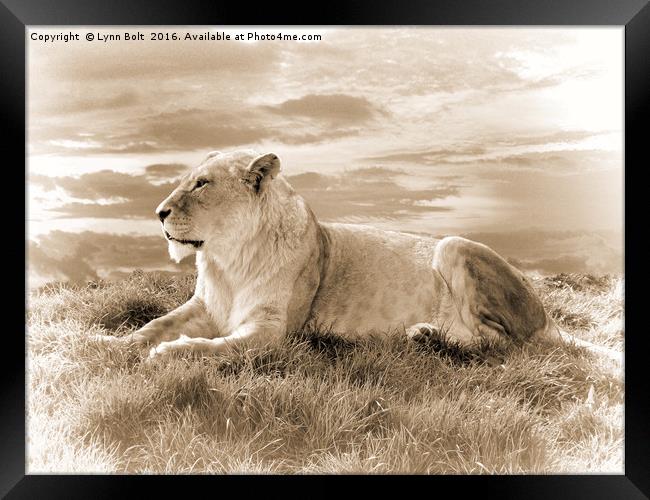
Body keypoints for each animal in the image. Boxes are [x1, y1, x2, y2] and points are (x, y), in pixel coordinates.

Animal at [95, 148, 616, 364]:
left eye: (201, 184)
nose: (158, 213)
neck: (229, 260)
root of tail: (548, 317)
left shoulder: (273, 332)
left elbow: (215, 347)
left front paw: (170, 354)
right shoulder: (202, 306)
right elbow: (153, 324)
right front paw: (108, 344)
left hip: (452, 245)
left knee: (507, 346)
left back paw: (430, 337)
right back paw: (426, 335)